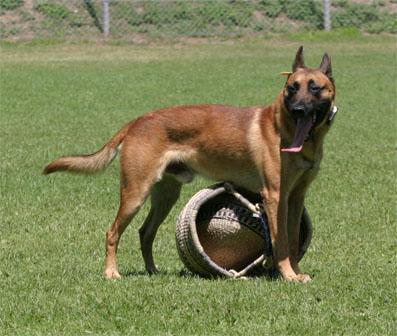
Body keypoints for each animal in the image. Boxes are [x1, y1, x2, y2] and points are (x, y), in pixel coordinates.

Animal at [43, 47, 336, 282]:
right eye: (292, 88)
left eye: (315, 87)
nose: (298, 109)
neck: (287, 130)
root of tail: (137, 121)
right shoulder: (275, 197)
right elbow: (282, 241)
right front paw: (288, 276)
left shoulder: (295, 198)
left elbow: (292, 239)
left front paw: (296, 272)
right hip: (135, 194)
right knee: (112, 232)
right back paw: (111, 273)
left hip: (165, 196)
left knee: (145, 232)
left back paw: (152, 271)